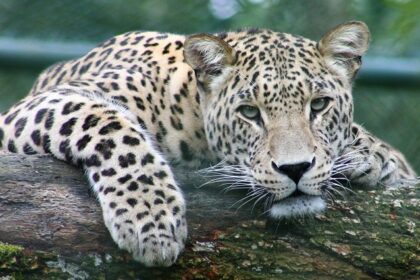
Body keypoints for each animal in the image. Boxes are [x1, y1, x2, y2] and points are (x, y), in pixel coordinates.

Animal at [0, 20, 416, 266]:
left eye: (319, 105)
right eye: (249, 113)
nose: (295, 169)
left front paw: (374, 157)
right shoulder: (35, 108)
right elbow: (109, 125)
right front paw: (151, 221)